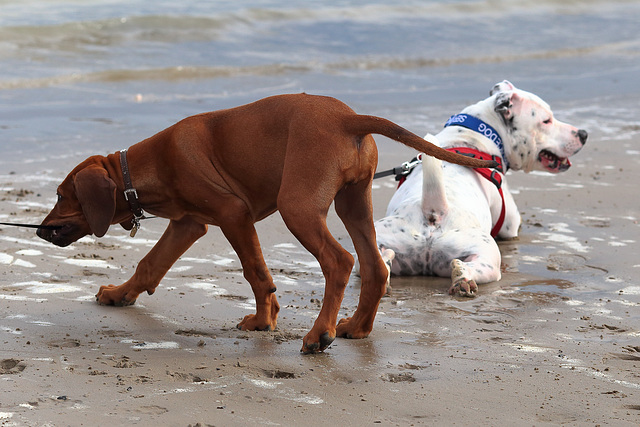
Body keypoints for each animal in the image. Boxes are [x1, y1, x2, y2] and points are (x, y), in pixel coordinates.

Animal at [37, 93, 498, 354]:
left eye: (61, 195)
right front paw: (119, 295)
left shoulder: (232, 214)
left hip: (297, 206)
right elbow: (150, 264)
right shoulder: (190, 223)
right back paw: (356, 328)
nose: (39, 229)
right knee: (374, 266)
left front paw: (263, 321)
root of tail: (349, 118)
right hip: (354, 202)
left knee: (339, 262)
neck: (144, 169)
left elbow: (256, 272)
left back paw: (320, 335)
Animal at [376, 80, 592, 296]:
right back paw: (463, 279)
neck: (473, 137)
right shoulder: (510, 223)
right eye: (546, 121)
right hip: (488, 254)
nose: (584, 134)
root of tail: (433, 209)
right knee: (473, 267)